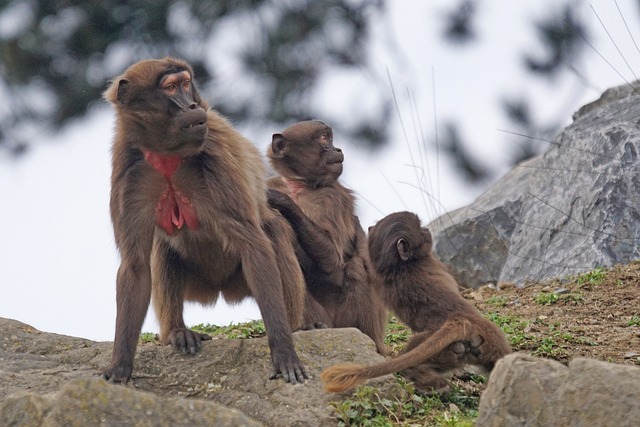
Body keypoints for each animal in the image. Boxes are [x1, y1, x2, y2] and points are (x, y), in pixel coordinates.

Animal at [103, 56, 308, 384]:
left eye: (186, 83)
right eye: (171, 87)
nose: (191, 105)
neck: (167, 155)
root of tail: (220, 289)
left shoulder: (215, 153)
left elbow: (253, 244)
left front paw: (284, 352)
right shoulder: (128, 171)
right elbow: (135, 265)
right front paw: (121, 364)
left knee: (272, 231)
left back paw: (295, 327)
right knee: (162, 248)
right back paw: (177, 332)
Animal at [264, 120, 384, 354]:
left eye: (329, 138)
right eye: (323, 138)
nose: (337, 149)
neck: (298, 186)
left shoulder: (330, 197)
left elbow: (331, 259)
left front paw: (282, 202)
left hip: (348, 320)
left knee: (356, 265)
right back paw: (305, 327)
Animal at [320, 212, 510, 396]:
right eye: (420, 229)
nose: (427, 229)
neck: (400, 265)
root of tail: (461, 321)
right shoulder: (435, 263)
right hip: (488, 338)